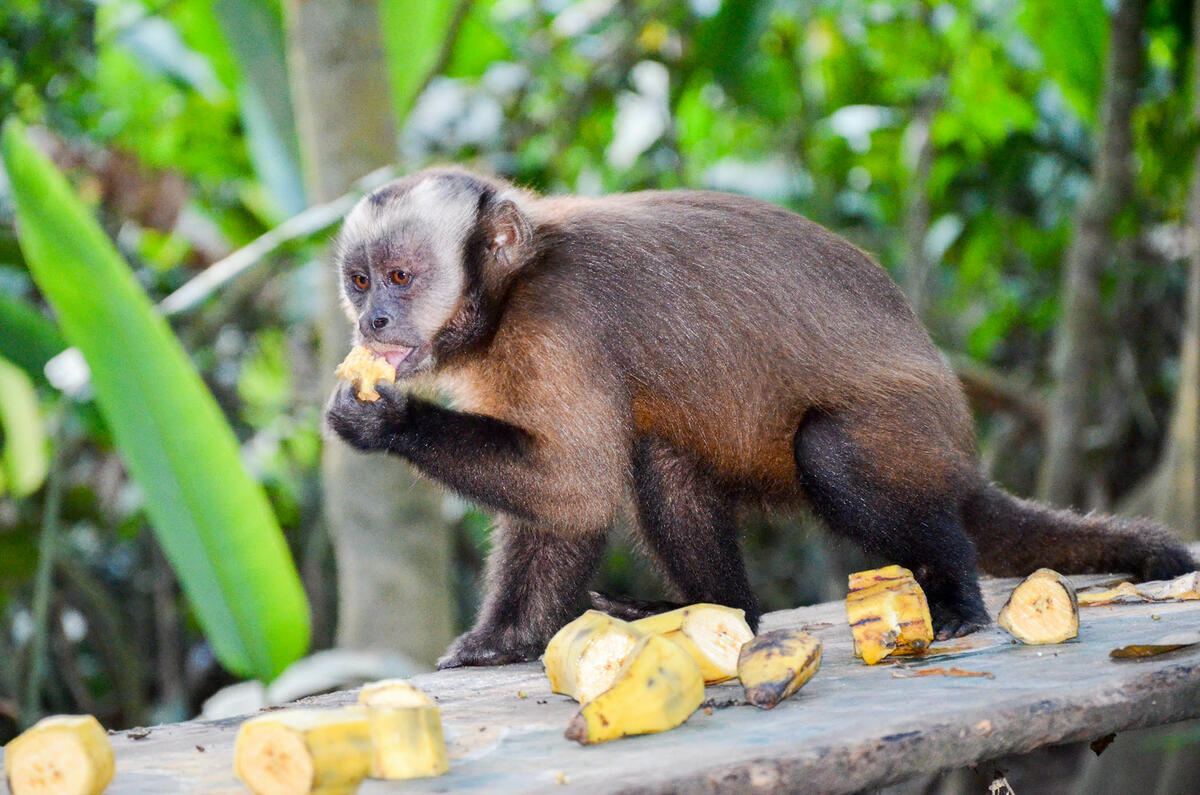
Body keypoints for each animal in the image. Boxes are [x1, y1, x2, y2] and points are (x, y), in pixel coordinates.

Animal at [324, 169, 1195, 672]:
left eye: (399, 277)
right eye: (360, 280)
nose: (371, 320)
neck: (509, 290)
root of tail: (964, 457)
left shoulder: (558, 323)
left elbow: (577, 483)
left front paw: (388, 422)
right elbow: (569, 504)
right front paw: (506, 639)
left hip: (916, 440)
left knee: (831, 452)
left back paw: (953, 587)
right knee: (663, 453)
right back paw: (727, 613)